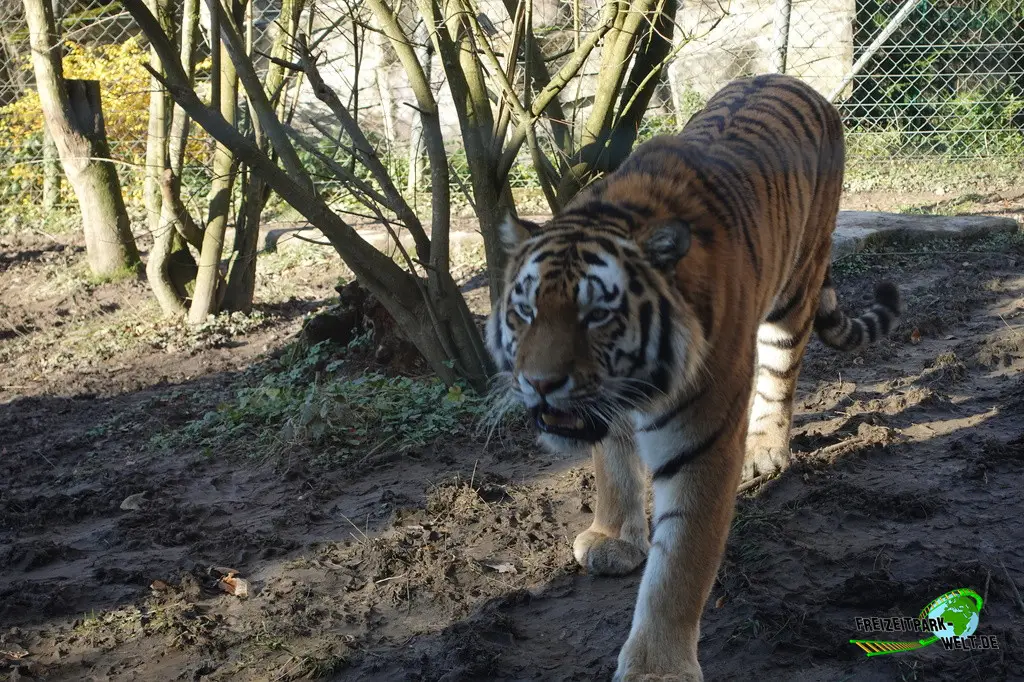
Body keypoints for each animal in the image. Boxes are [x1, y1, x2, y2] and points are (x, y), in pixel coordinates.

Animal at [485, 73, 901, 681]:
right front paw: (613, 540)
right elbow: (613, 468)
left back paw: (766, 451)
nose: (539, 383)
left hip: (796, 290)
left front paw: (657, 668)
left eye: (597, 314)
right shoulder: (607, 413)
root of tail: (794, 80)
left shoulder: (700, 443)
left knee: (780, 376)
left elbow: (679, 566)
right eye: (525, 311)